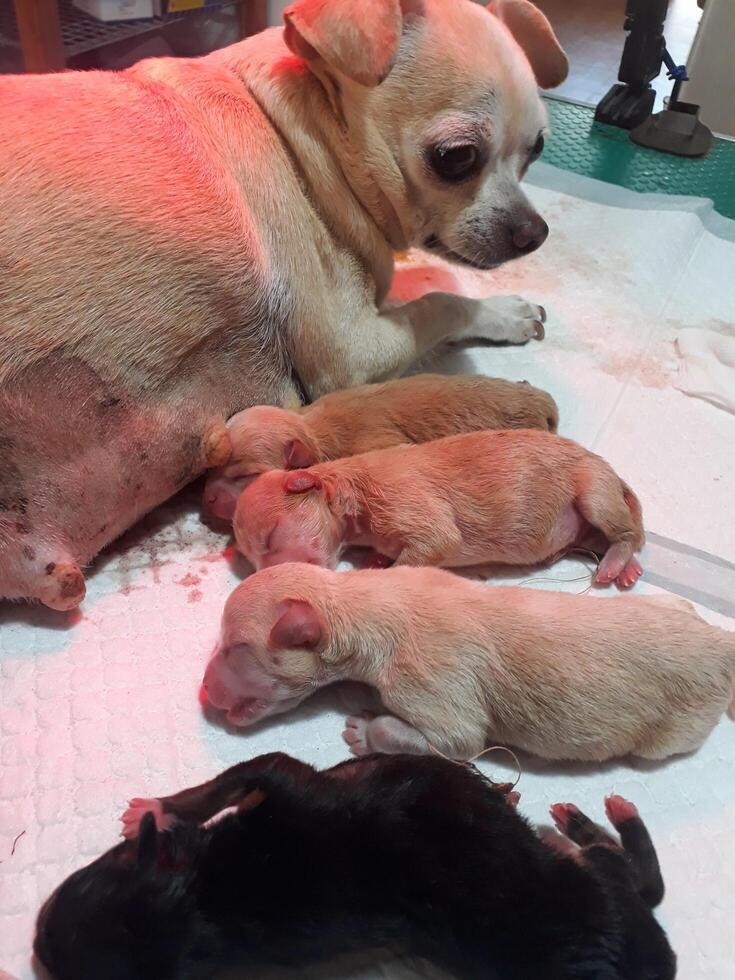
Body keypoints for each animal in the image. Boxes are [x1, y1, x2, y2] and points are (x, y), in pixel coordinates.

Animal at [36, 756, 680, 976]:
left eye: (86, 877)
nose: (36, 949)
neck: (207, 898)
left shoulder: (278, 777)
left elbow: (213, 786)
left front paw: (154, 809)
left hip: (594, 883)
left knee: (636, 873)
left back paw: (592, 818)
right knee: (638, 879)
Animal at [234, 426, 644, 580]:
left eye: (270, 538)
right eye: (252, 560)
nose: (265, 577)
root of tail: (614, 475)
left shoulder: (407, 500)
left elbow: (433, 542)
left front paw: (377, 570)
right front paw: (376, 558)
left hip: (593, 491)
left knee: (626, 534)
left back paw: (613, 566)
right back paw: (627, 570)